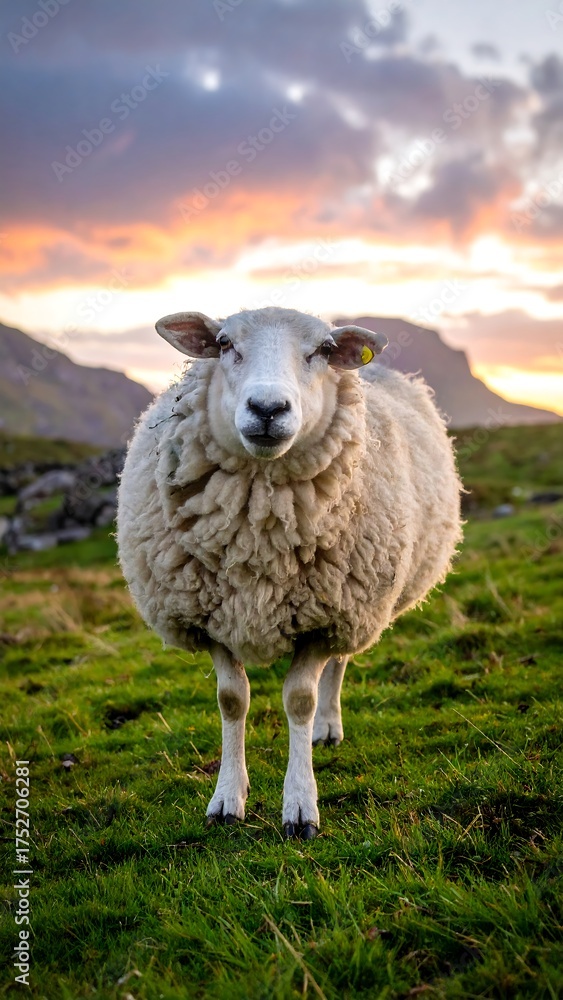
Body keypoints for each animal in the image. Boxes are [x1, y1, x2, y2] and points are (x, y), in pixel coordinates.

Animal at [117, 307, 462, 839]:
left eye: (323, 350)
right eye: (223, 343)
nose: (267, 408)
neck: (260, 526)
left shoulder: (326, 619)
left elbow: (300, 699)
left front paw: (300, 806)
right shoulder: (208, 618)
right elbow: (231, 700)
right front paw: (227, 799)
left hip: (355, 608)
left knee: (338, 666)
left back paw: (327, 727)